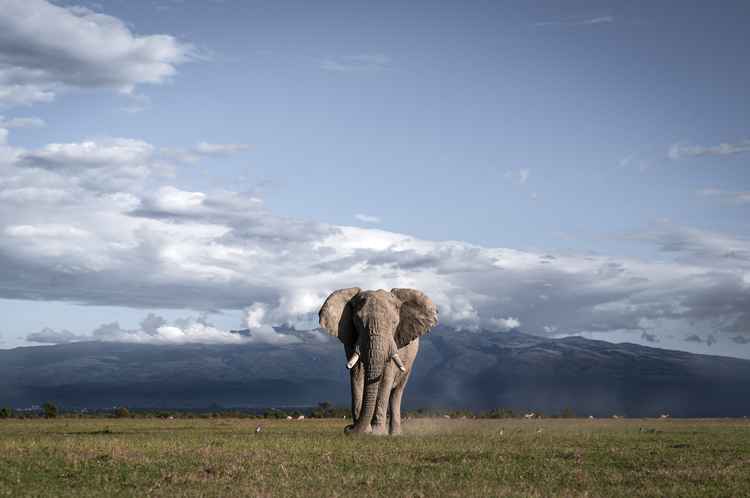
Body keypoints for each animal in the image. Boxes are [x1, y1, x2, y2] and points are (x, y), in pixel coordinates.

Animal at [318, 288, 438, 436]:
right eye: (358, 321)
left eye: (394, 323)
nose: (348, 428)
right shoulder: (351, 339)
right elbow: (356, 375)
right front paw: (364, 431)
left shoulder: (395, 342)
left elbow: (385, 378)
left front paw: (377, 433)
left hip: (410, 363)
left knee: (397, 393)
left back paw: (395, 434)